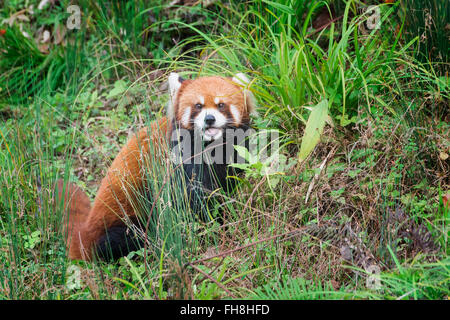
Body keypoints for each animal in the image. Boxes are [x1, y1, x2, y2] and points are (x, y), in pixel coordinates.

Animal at [58, 72, 256, 260]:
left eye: (221, 105)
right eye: (198, 106)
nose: (209, 119)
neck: (211, 146)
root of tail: (86, 230)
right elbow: (193, 200)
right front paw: (211, 226)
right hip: (123, 214)